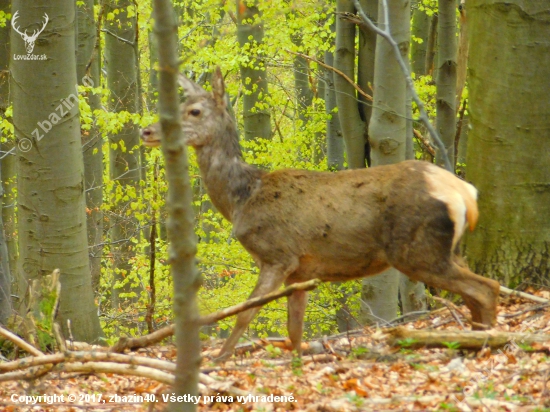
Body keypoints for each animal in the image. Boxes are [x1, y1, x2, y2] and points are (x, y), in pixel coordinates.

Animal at [141, 67, 500, 360]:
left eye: (194, 111)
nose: (146, 131)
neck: (241, 199)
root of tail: (464, 193)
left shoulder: (277, 254)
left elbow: (246, 312)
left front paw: (220, 358)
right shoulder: (300, 271)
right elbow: (294, 329)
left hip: (416, 249)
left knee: (486, 287)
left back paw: (487, 343)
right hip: (446, 249)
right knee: (477, 291)